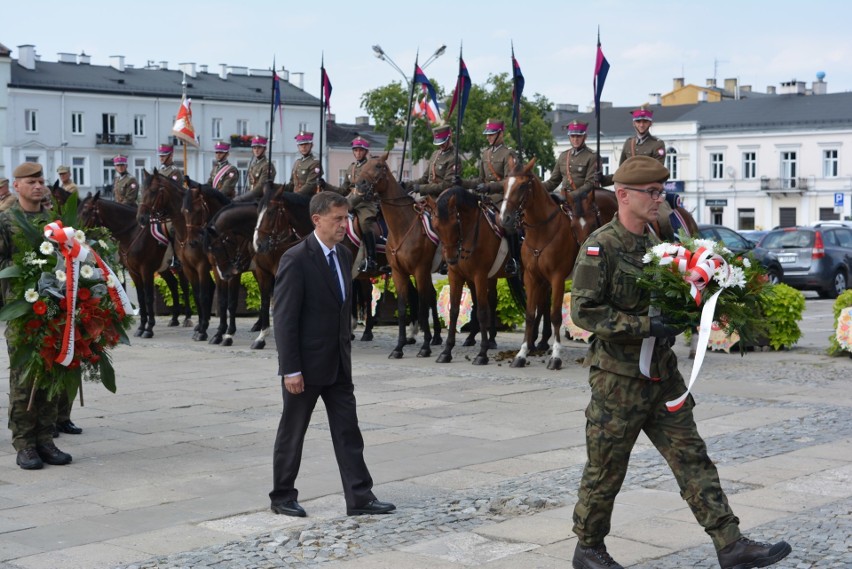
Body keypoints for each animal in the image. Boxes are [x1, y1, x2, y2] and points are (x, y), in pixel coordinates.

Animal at [78, 193, 193, 338]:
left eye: (85, 211)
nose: (75, 229)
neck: (132, 233)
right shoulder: (133, 272)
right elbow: (141, 298)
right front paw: (141, 327)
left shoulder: (146, 270)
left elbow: (148, 298)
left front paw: (149, 329)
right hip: (164, 269)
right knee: (172, 284)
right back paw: (174, 318)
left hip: (181, 267)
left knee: (184, 285)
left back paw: (187, 318)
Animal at [136, 171, 216, 340]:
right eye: (142, 190)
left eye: (153, 191)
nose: (140, 218)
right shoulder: (188, 266)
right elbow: (197, 294)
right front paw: (201, 326)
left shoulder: (201, 266)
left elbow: (200, 294)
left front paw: (201, 329)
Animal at [354, 154, 442, 360]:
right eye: (365, 166)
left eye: (379, 166)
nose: (360, 184)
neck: (403, 227)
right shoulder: (398, 272)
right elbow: (403, 307)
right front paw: (399, 347)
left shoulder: (420, 270)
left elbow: (422, 304)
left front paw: (425, 347)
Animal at [436, 186, 524, 364]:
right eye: (436, 227)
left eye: (455, 224)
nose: (451, 259)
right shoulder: (456, 276)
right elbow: (454, 310)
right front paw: (447, 351)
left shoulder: (480, 276)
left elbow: (482, 312)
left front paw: (482, 354)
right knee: (492, 300)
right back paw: (490, 339)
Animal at [502, 159, 596, 368]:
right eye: (504, 185)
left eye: (522, 186)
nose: (504, 218)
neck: (541, 232)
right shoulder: (531, 277)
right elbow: (530, 314)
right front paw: (522, 354)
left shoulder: (557, 278)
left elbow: (555, 315)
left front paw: (556, 356)